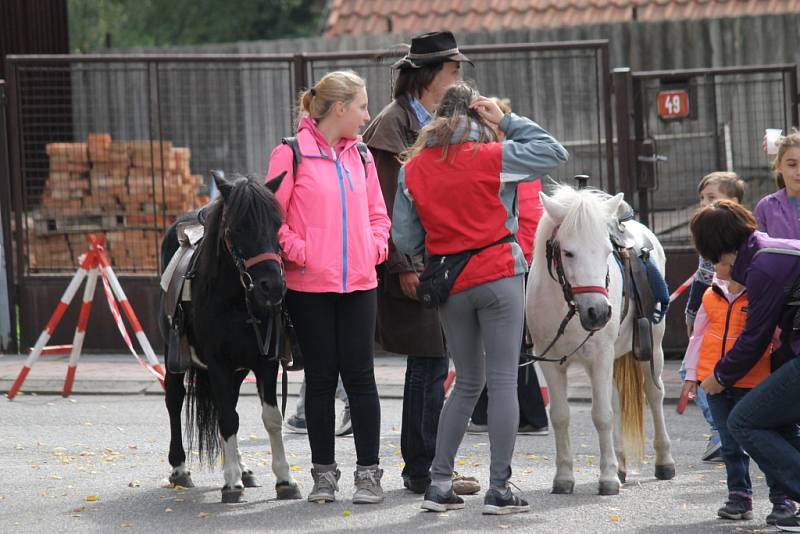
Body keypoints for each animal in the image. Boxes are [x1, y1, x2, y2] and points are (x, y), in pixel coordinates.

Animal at [159, 173, 300, 506]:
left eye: (278, 224)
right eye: (237, 228)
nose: (273, 286)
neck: (236, 300)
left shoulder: (264, 362)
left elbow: (269, 418)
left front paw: (284, 478)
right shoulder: (219, 364)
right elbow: (227, 420)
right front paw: (231, 483)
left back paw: (244, 468)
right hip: (173, 356)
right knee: (175, 399)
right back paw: (180, 468)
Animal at [524, 186, 676, 496]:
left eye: (607, 252)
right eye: (568, 252)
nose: (599, 312)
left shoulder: (600, 357)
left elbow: (601, 415)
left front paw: (607, 479)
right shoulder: (550, 363)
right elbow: (561, 415)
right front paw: (564, 477)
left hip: (652, 346)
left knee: (654, 394)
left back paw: (664, 461)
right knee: (617, 400)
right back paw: (621, 465)